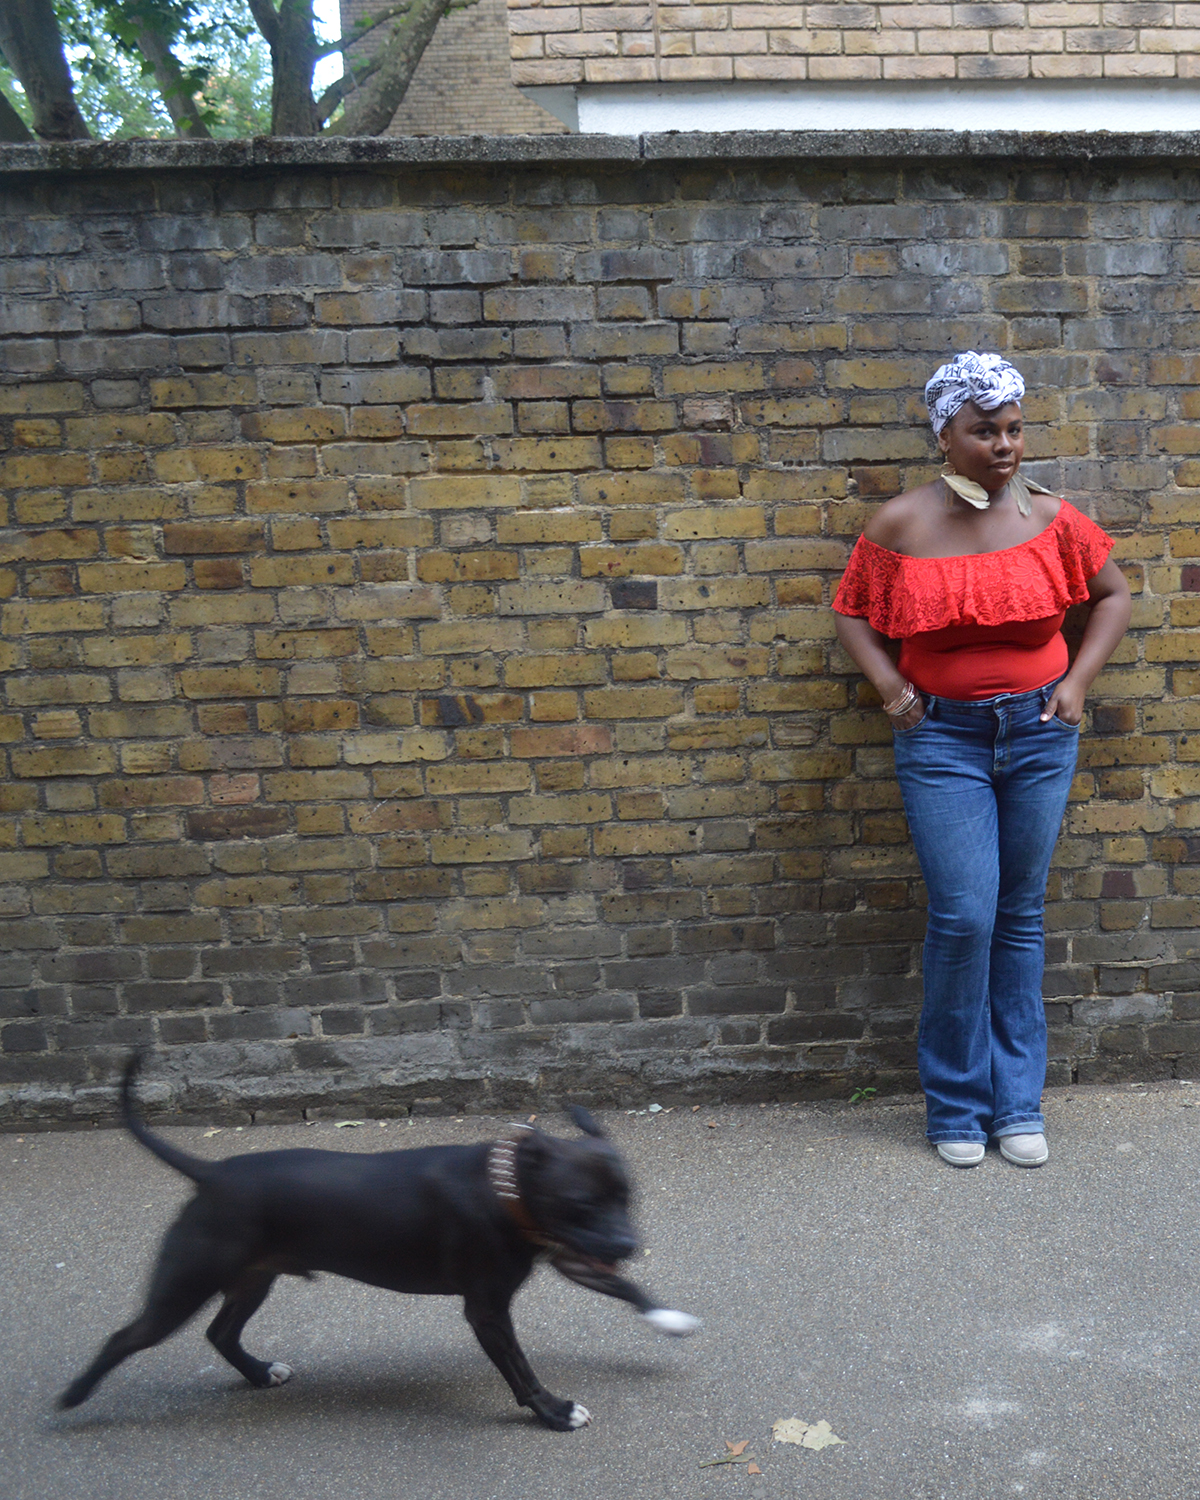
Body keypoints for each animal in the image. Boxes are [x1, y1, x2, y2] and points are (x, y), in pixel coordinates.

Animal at [59, 1056, 699, 1430]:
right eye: (581, 1205)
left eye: (627, 1198)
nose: (628, 1243)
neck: (508, 1186)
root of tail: (211, 1174)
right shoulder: (488, 1310)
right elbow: (520, 1368)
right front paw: (554, 1411)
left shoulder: (568, 1255)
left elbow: (624, 1289)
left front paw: (667, 1317)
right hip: (186, 1283)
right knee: (126, 1337)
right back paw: (73, 1397)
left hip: (253, 1278)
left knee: (221, 1332)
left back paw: (259, 1374)